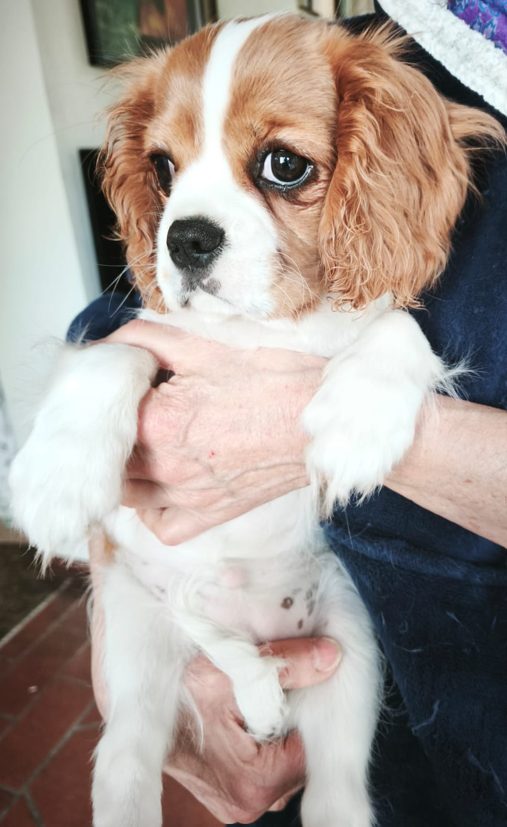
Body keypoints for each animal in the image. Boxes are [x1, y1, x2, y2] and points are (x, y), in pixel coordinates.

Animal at [9, 14, 504, 827]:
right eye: (163, 169)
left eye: (284, 166)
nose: (183, 238)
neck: (265, 326)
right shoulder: (142, 333)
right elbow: (112, 356)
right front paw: (55, 480)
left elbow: (398, 326)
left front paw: (359, 417)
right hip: (138, 652)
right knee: (126, 761)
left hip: (349, 660)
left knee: (336, 795)